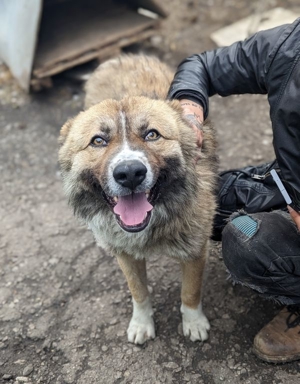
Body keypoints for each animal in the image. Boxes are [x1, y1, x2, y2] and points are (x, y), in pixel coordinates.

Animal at [59, 54, 218, 344]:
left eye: (152, 134)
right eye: (98, 140)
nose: (130, 173)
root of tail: (120, 57)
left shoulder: (195, 249)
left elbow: (190, 292)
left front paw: (194, 322)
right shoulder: (124, 254)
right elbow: (139, 292)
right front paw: (142, 324)